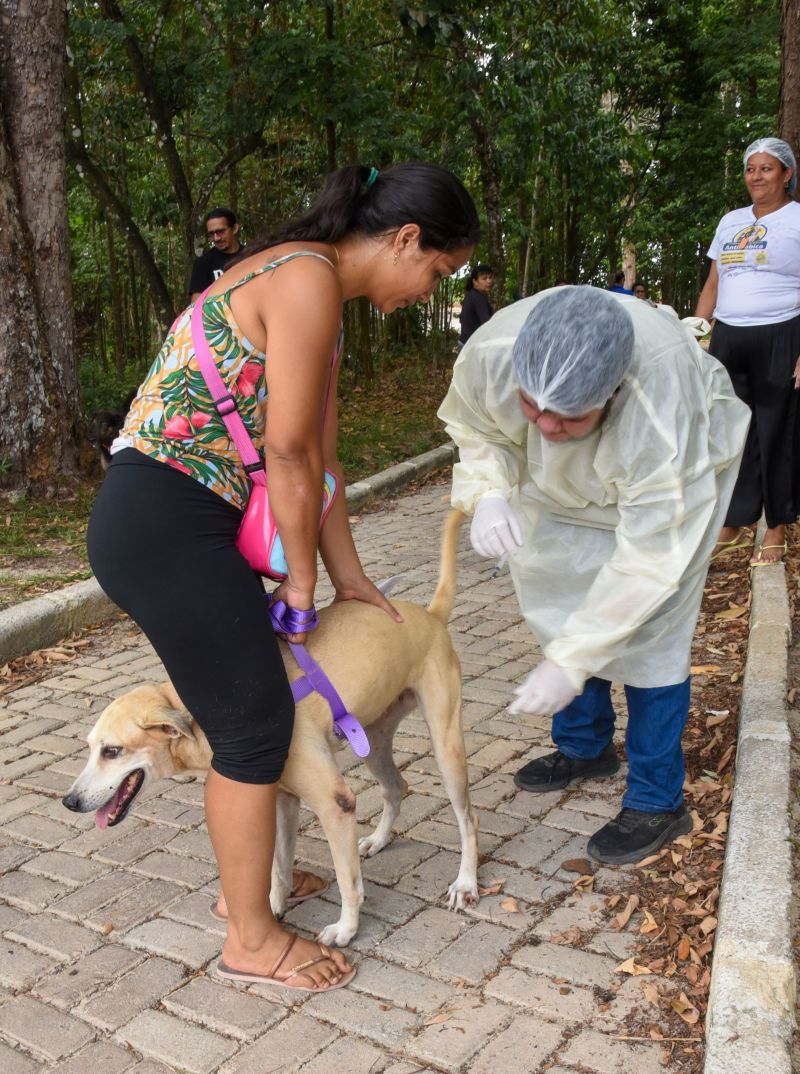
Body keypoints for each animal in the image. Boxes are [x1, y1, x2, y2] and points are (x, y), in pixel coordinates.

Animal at [63, 511, 474, 949]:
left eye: (112, 751)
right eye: (90, 747)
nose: (69, 802)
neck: (211, 716)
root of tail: (430, 614)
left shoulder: (335, 803)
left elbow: (347, 881)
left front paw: (346, 929)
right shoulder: (281, 799)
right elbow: (277, 865)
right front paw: (276, 907)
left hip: (446, 746)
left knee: (468, 820)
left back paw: (466, 882)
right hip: (376, 742)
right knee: (396, 787)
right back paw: (379, 840)